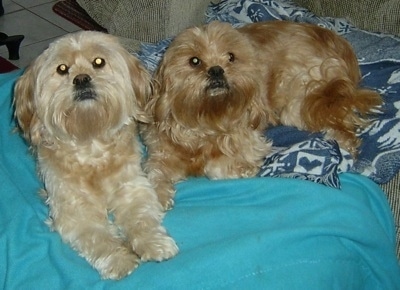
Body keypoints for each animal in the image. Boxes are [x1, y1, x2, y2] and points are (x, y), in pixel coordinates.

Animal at [13, 30, 178, 280]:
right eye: (62, 69)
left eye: (98, 62)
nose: (81, 79)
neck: (91, 145)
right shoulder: (74, 210)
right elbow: (98, 238)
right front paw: (119, 260)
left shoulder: (133, 188)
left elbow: (143, 218)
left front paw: (155, 243)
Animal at [143, 21, 382, 211]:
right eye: (194, 61)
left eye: (231, 57)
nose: (217, 69)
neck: (206, 119)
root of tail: (333, 39)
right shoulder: (161, 153)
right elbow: (155, 174)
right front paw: (158, 197)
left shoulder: (250, 144)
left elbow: (217, 167)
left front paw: (240, 170)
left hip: (300, 102)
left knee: (344, 117)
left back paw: (344, 145)